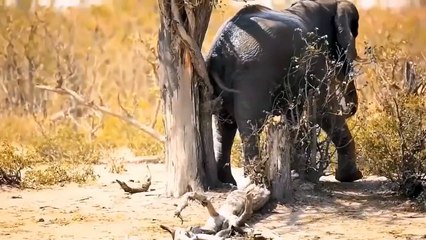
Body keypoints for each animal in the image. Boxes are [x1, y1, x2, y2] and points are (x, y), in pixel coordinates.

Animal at [206, 0, 362, 186]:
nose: (349, 108)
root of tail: (219, 50)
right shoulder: (316, 58)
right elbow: (323, 109)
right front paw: (351, 177)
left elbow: (294, 115)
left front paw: (296, 175)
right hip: (253, 77)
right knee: (250, 124)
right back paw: (257, 181)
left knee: (224, 126)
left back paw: (228, 182)